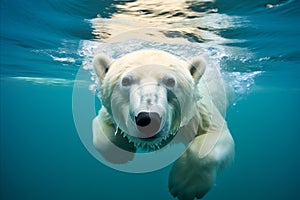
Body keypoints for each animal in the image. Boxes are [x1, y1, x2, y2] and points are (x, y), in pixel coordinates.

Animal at [92, 48, 236, 200]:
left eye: (170, 81)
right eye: (125, 81)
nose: (147, 119)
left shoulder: (198, 113)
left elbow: (216, 135)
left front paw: (185, 186)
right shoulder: (109, 114)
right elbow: (101, 129)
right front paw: (121, 152)